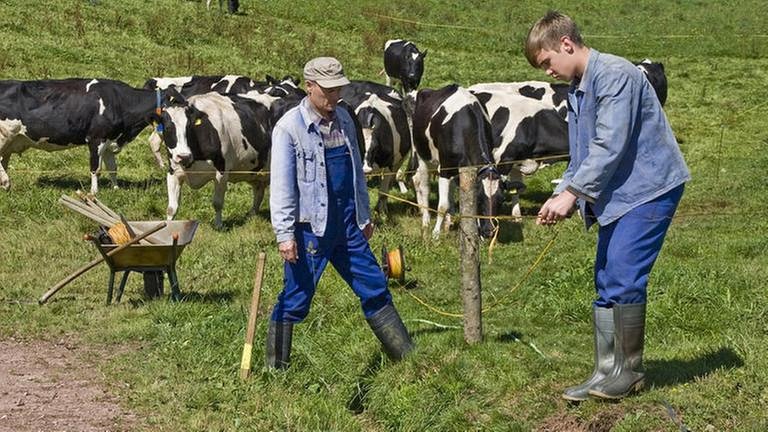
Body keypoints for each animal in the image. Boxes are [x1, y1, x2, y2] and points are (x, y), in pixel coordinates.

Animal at [0, 78, 157, 193]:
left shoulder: (109, 139)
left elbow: (112, 167)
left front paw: (116, 189)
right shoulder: (96, 138)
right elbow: (96, 168)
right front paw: (94, 193)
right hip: (5, 136)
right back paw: (6, 182)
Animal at [150, 89, 272, 228]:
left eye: (189, 127)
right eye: (168, 128)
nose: (184, 156)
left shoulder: (221, 172)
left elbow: (217, 203)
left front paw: (218, 225)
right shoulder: (173, 172)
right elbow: (171, 208)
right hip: (256, 173)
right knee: (259, 191)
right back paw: (252, 215)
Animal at [340, 80, 412, 213]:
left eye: (375, 148)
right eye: (357, 145)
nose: (366, 169)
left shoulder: (390, 163)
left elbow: (383, 192)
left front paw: (382, 211)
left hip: (402, 156)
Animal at [412, 84, 500, 240]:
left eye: (500, 201)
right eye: (479, 200)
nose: (489, 232)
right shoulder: (445, 169)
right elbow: (442, 206)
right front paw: (435, 235)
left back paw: (448, 221)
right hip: (422, 154)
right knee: (424, 186)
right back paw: (426, 220)